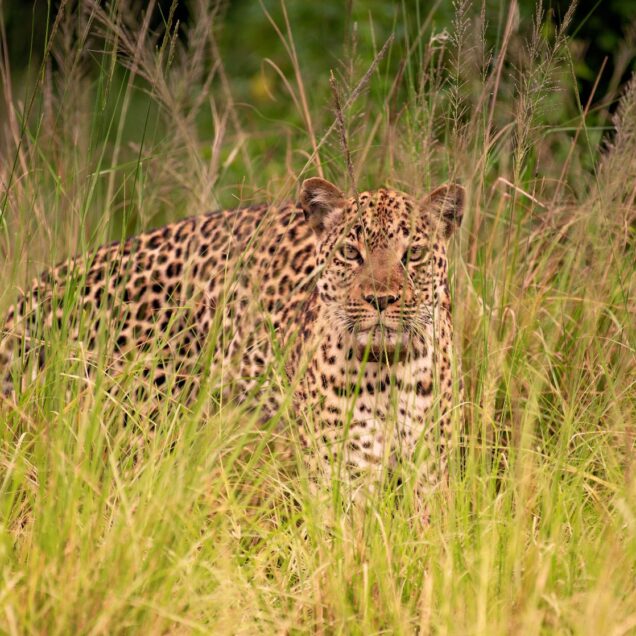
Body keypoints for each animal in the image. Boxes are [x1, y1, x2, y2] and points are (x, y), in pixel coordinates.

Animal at [1, 178, 468, 502]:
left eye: (413, 254)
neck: (387, 369)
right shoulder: (341, 473)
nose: (381, 299)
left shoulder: (430, 471)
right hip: (135, 424)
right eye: (351, 253)